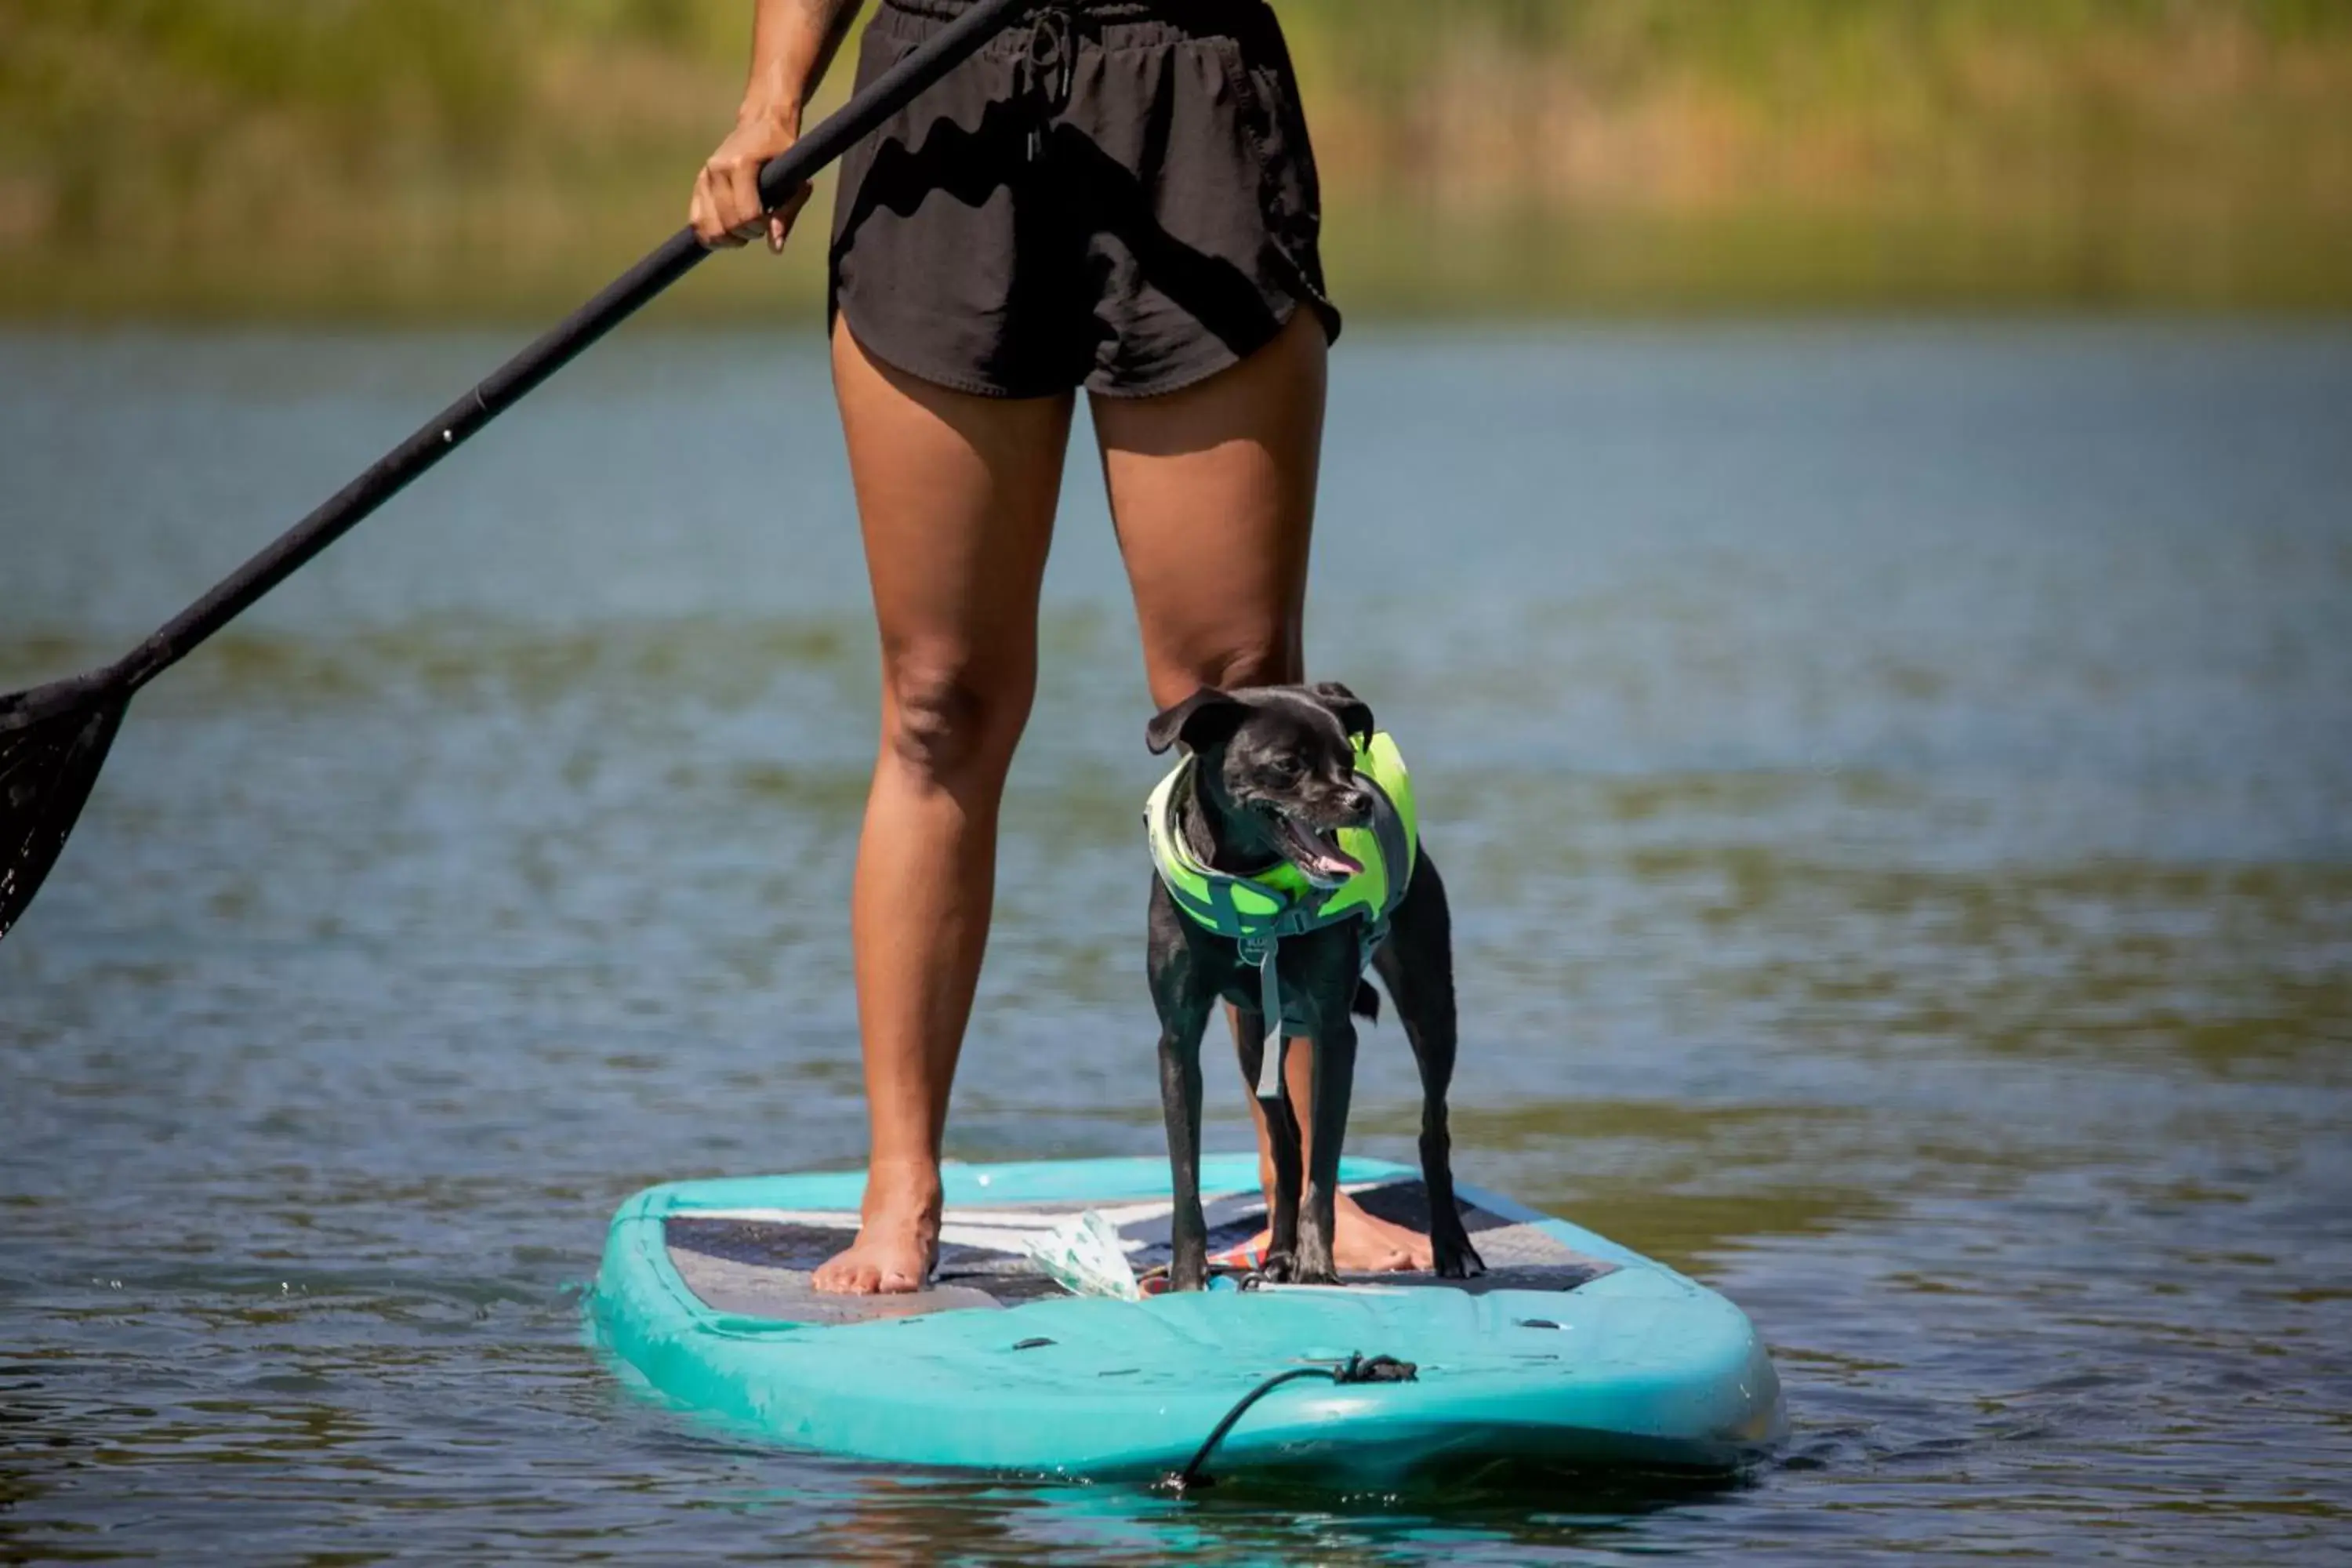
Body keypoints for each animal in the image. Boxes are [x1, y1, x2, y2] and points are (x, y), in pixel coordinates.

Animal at [1143, 681, 1486, 1288]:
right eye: (1287, 765)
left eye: (1348, 760)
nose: (1360, 802)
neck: (1250, 885)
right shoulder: (1178, 1039)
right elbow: (1187, 1175)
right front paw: (1187, 1278)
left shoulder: (1333, 1030)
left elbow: (1324, 1168)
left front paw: (1318, 1269)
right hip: (1255, 1035)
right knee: (1285, 1146)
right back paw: (1278, 1256)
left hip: (1429, 1004)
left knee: (1433, 1128)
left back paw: (1452, 1246)